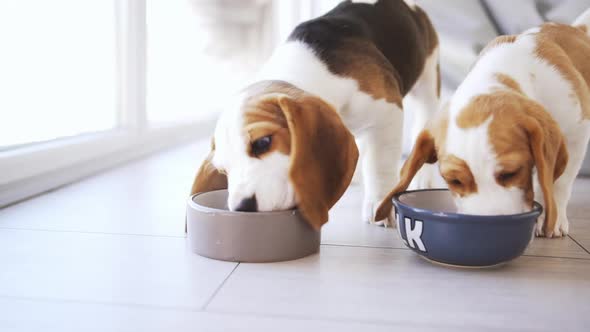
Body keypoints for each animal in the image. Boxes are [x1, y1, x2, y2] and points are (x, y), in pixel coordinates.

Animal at [190, 0, 440, 228]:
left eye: (262, 143)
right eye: (223, 170)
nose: (243, 207)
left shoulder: (387, 111)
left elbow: (379, 165)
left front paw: (379, 204)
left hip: (428, 80)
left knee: (423, 122)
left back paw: (423, 177)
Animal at [380, 9, 590, 239]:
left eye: (511, 173)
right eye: (455, 181)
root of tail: (575, 29)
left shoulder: (577, 135)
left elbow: (558, 183)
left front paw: (554, 217)